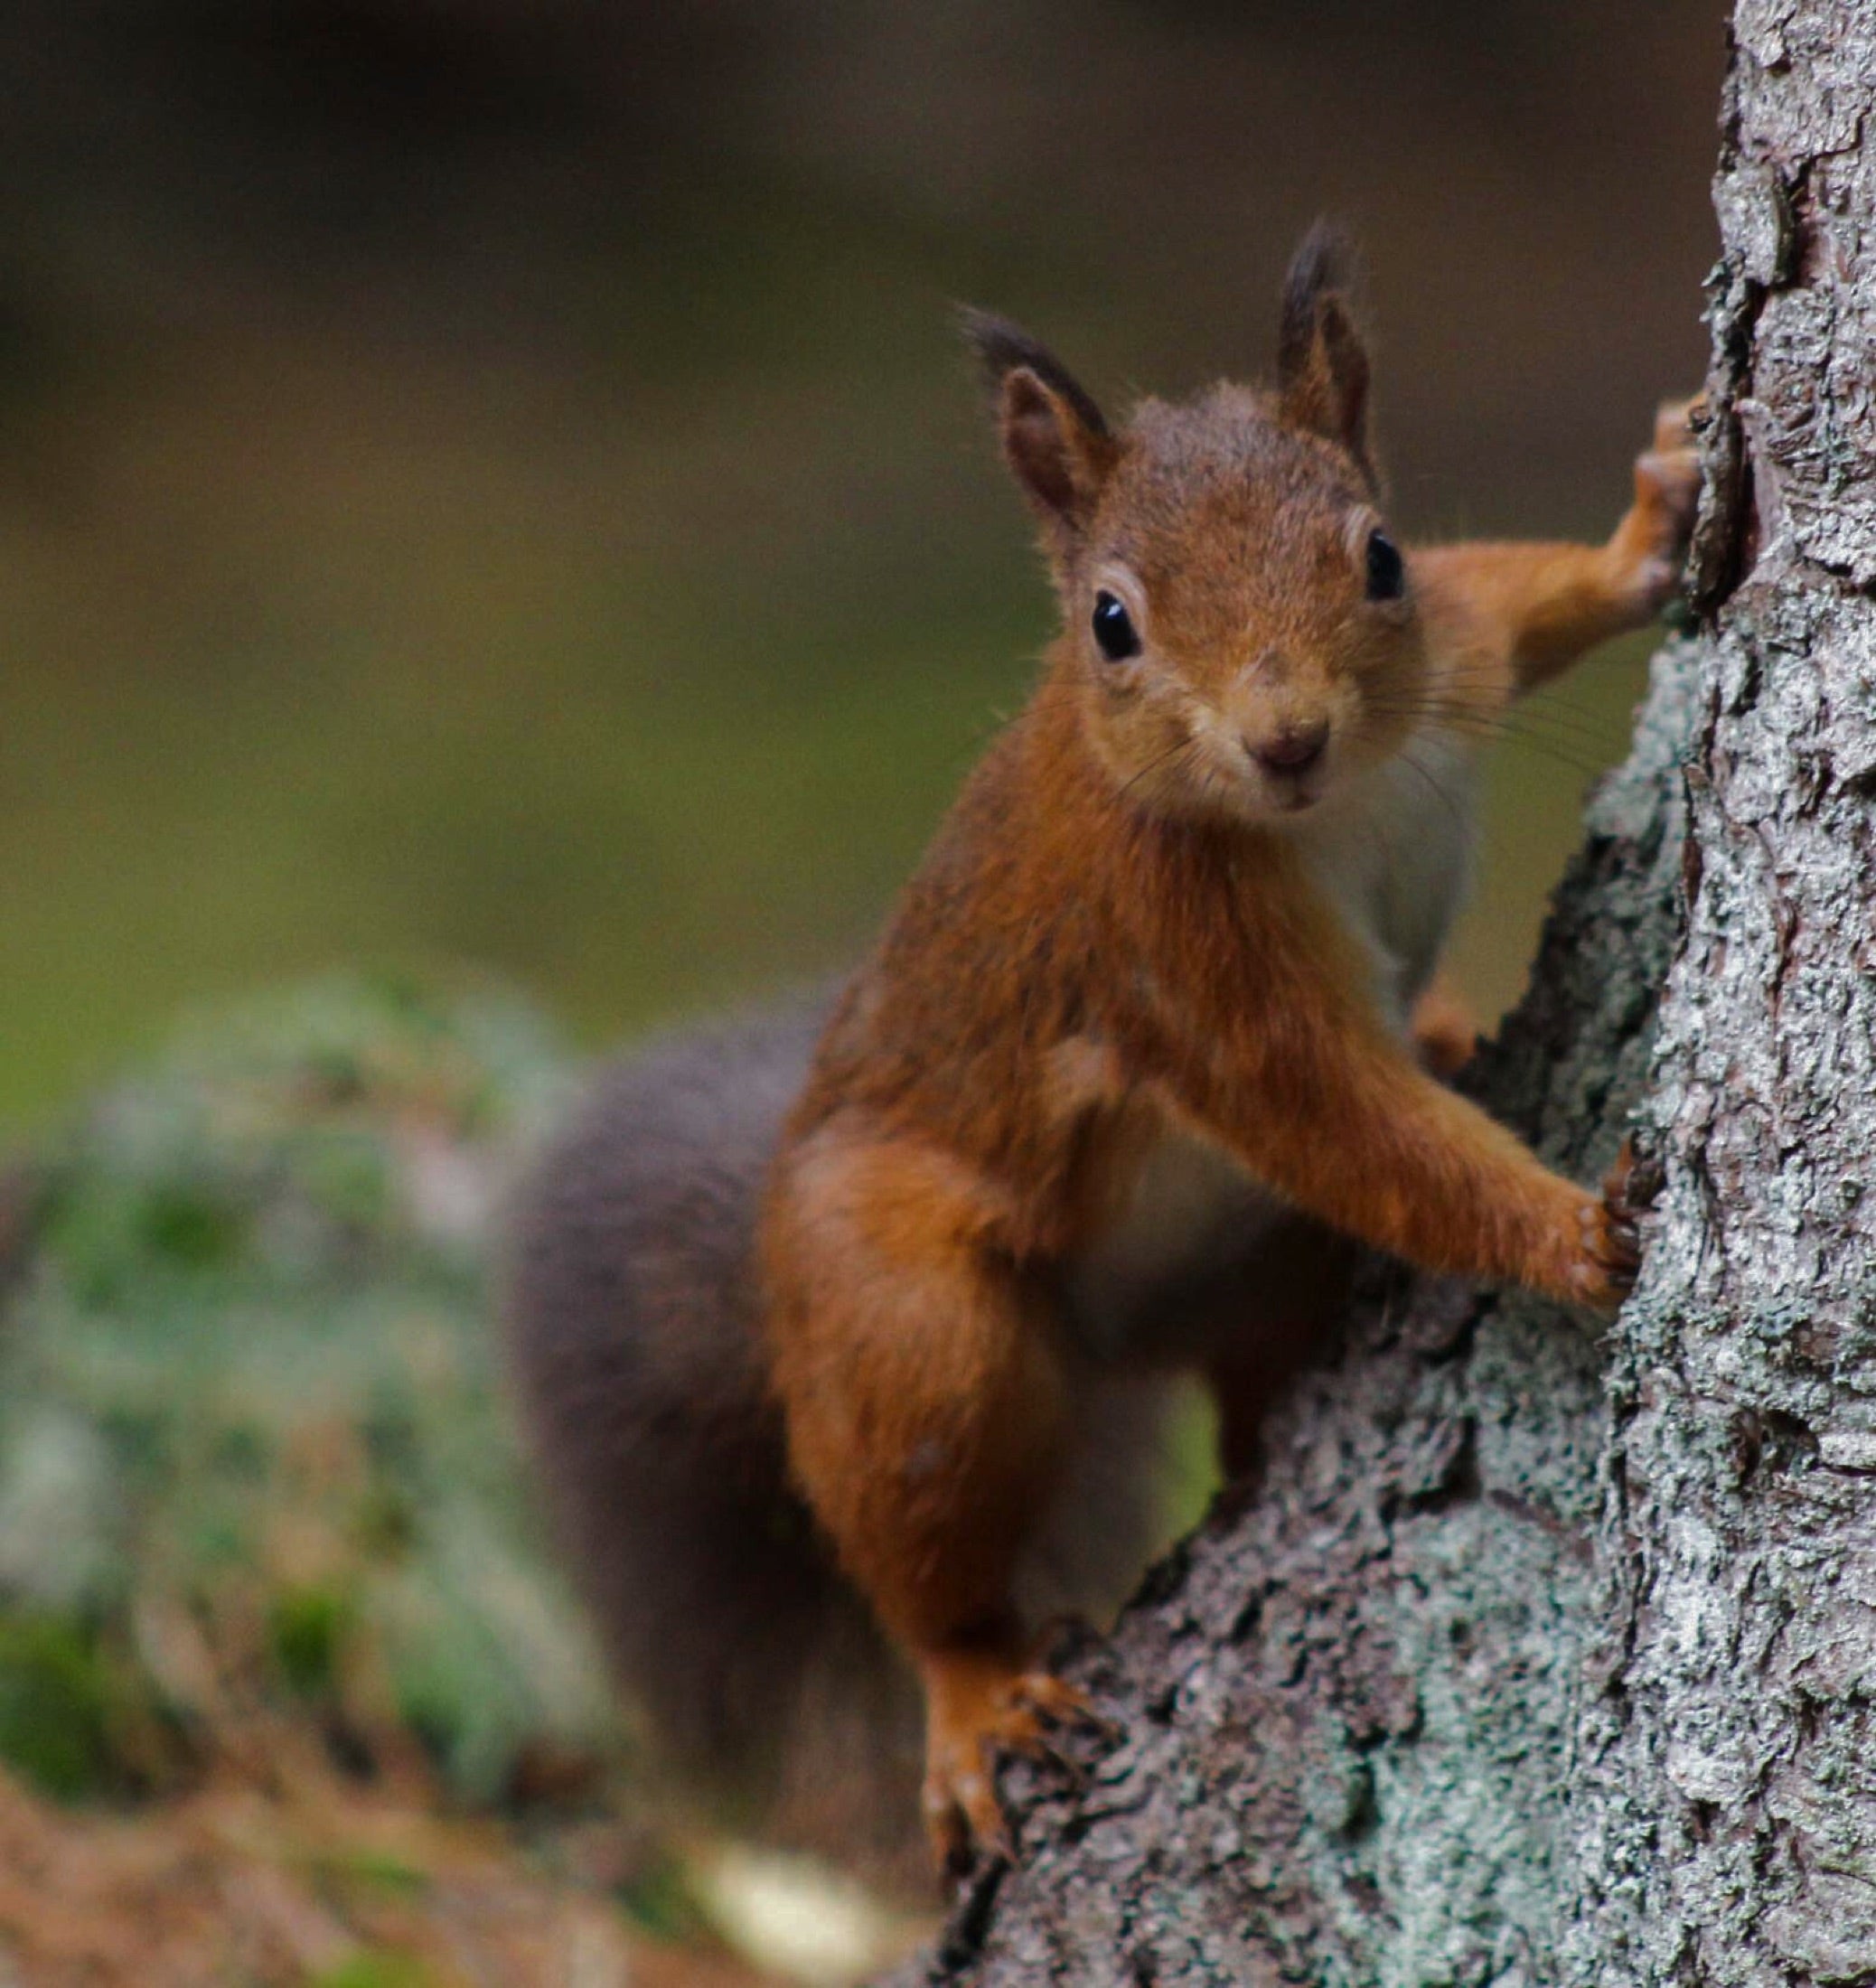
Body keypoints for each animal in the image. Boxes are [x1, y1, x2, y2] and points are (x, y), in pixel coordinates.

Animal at [504, 225, 1700, 1889]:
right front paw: (1576, 1231)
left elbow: (1513, 596)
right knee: (921, 1544)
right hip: (909, 1327)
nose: (1285, 736)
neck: (1330, 810)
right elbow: (1352, 1126)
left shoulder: (1450, 658)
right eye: (1111, 624)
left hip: (1255, 1276)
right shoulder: (1184, 963)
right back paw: (975, 1697)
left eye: (1379, 556)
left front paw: (1654, 521)